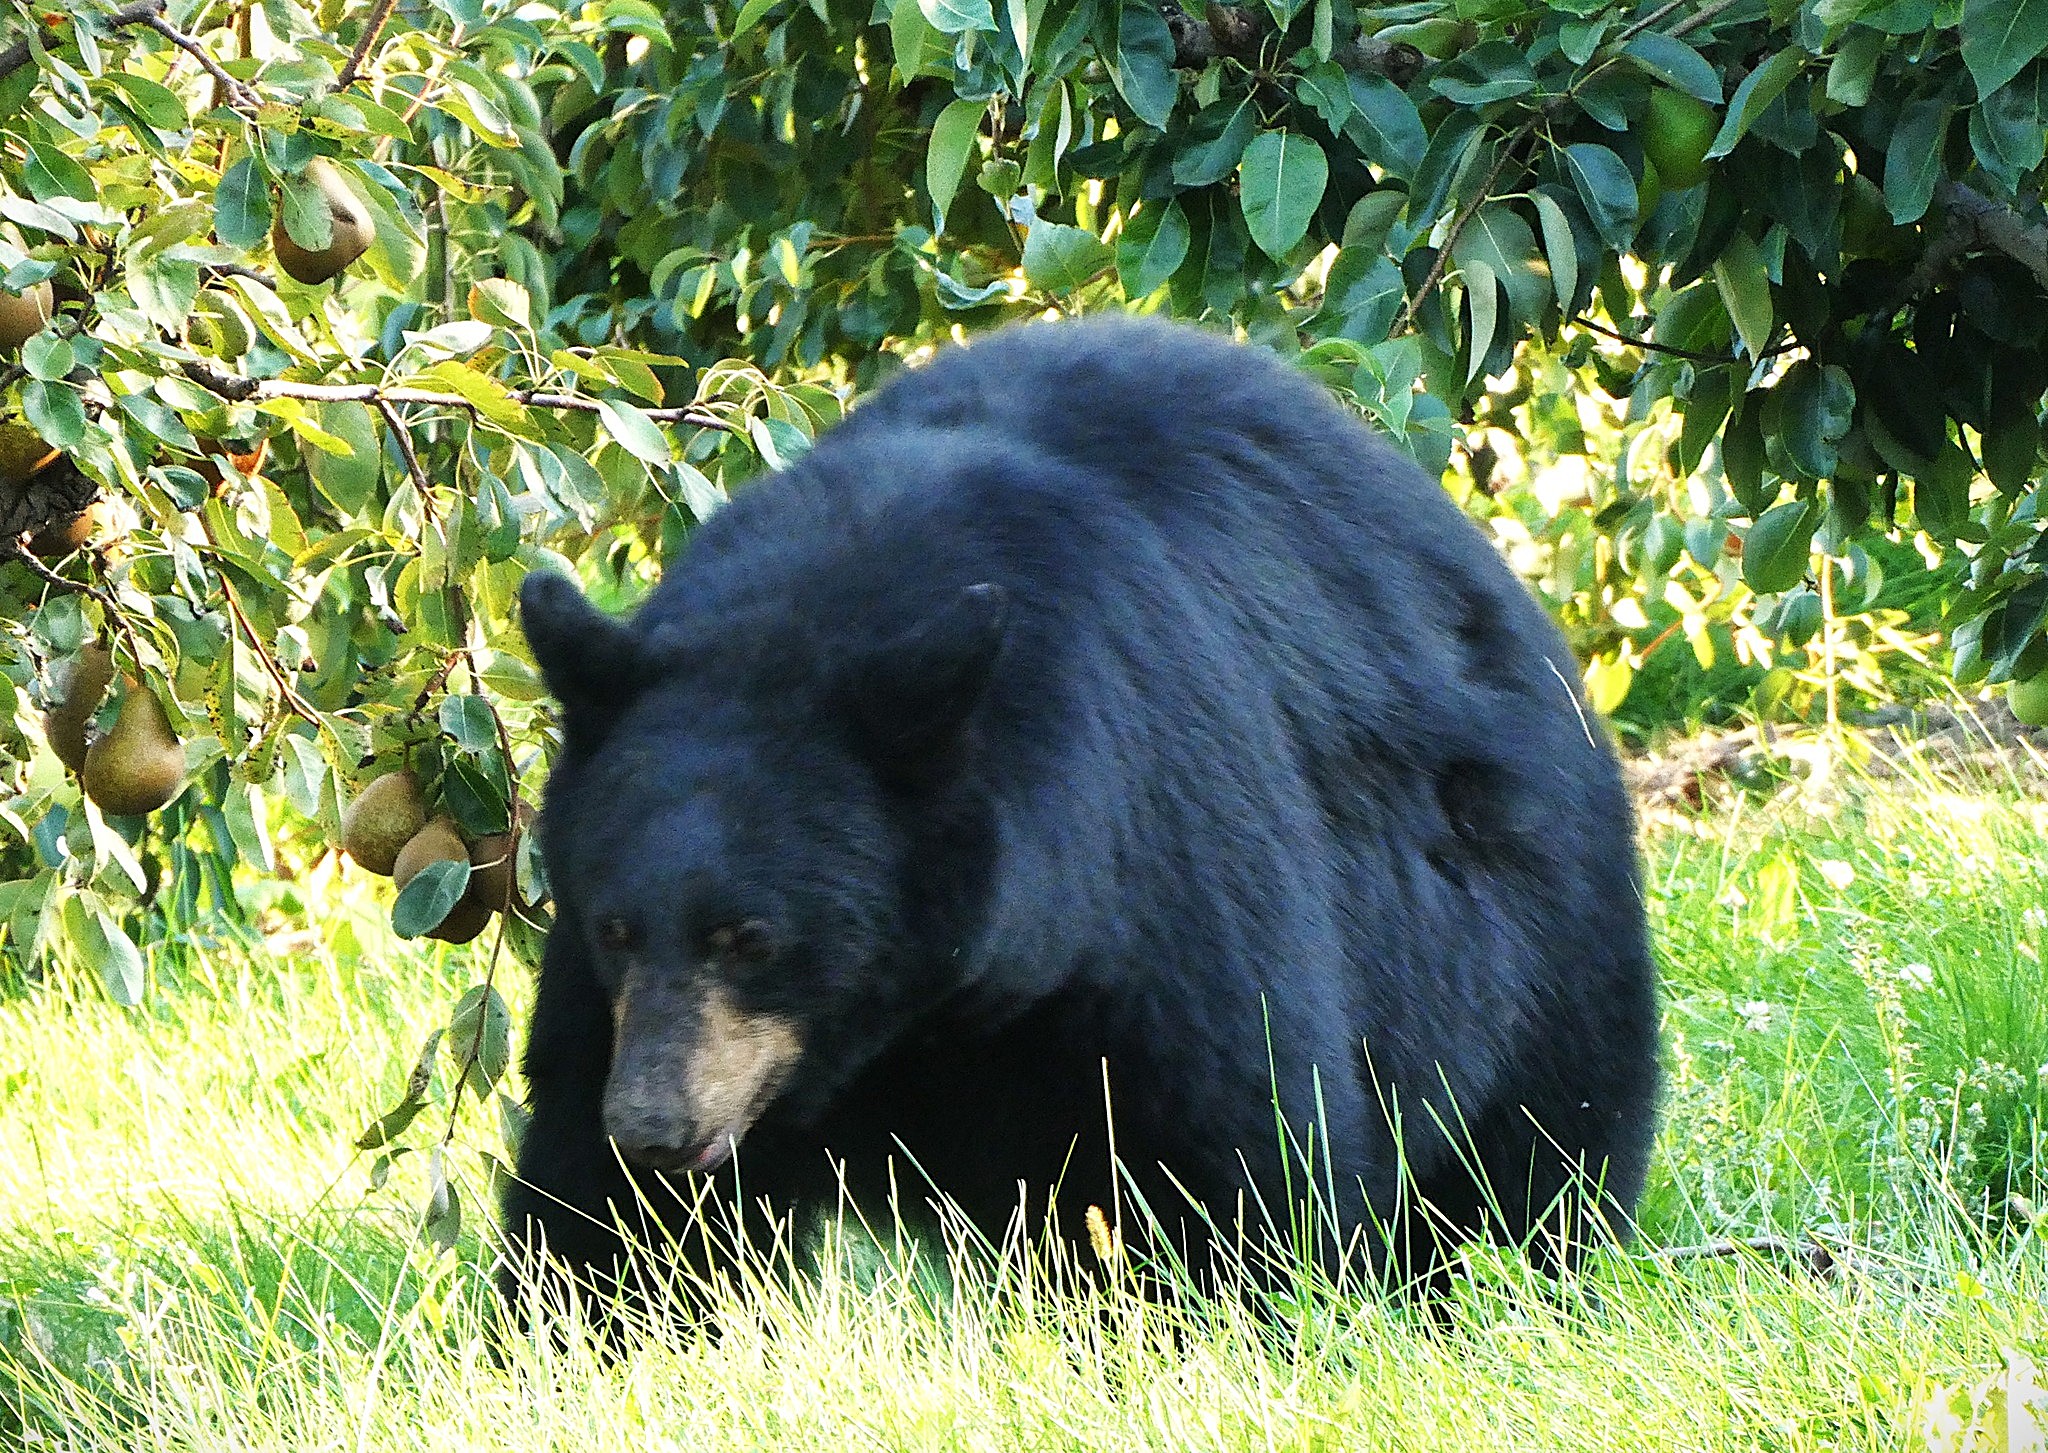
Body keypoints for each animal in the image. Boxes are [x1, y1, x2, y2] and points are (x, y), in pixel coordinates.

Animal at [499, 314, 1660, 1329]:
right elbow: (598, 1210)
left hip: (1526, 918)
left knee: (1538, 1150)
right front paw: (592, 1313)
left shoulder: (1152, 865)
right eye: (614, 927)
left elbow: (1227, 1147)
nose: (653, 1126)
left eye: (750, 938)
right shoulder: (616, 1000)